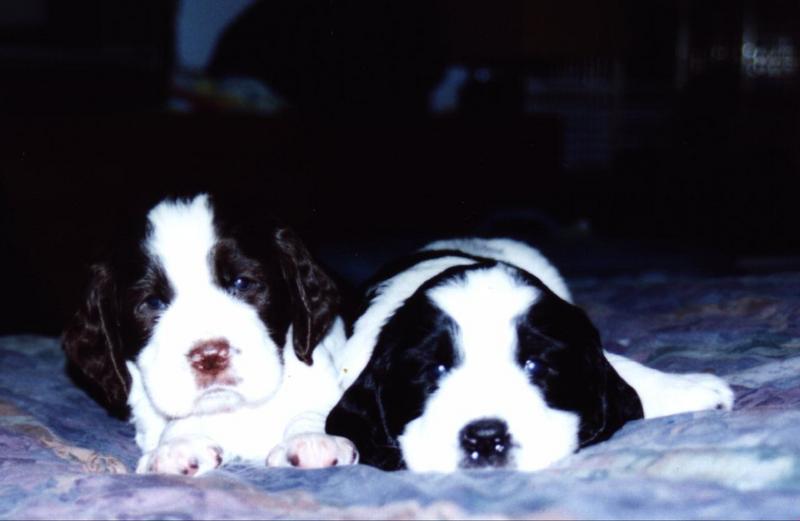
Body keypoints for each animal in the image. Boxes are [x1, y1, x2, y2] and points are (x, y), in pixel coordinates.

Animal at [64, 194, 358, 476]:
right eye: (153, 302)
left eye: (242, 283)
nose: (210, 357)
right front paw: (177, 444)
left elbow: (318, 405)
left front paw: (313, 439)